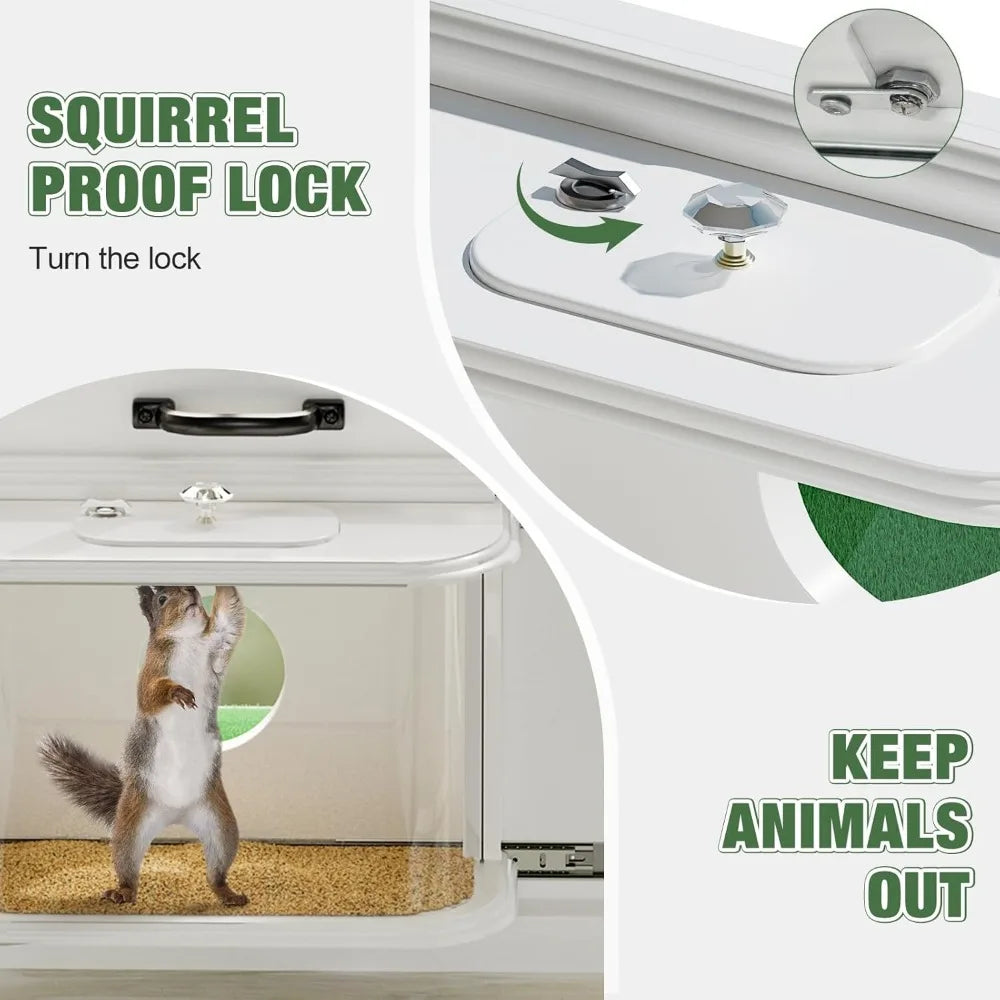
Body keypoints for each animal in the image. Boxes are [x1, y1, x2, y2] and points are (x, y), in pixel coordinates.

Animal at [38, 585, 248, 907]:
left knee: (218, 870)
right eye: (161, 599)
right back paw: (122, 891)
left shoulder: (217, 640)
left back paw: (228, 893)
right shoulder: (150, 672)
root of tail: (176, 814)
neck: (186, 638)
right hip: (131, 825)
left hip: (219, 824)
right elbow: (152, 693)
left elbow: (230, 617)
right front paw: (179, 693)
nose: (192, 591)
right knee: (127, 863)